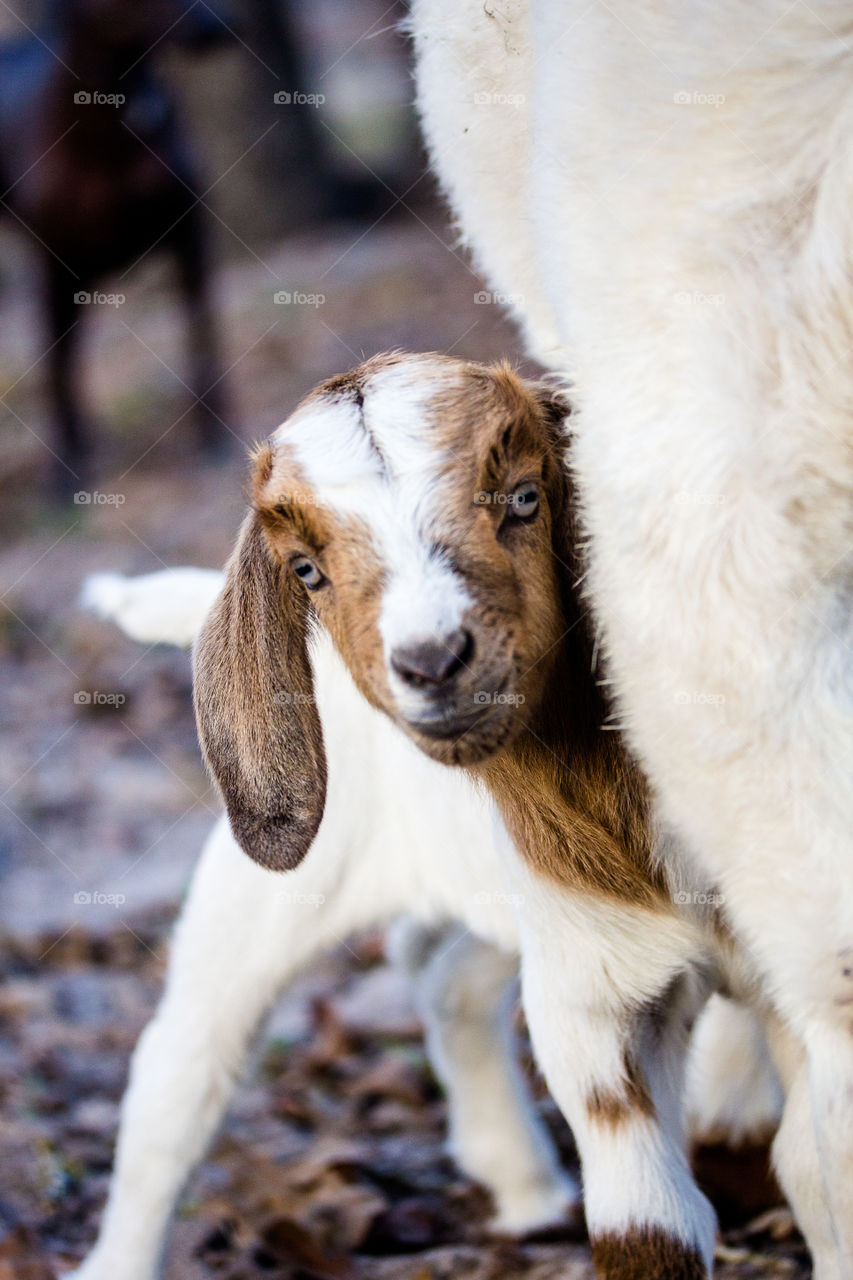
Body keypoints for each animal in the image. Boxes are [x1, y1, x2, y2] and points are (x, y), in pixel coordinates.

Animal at [76, 355, 778, 1280]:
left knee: (440, 970)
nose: (433, 661)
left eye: (525, 497)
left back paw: (523, 1188)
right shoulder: (596, 996)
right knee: (182, 1069)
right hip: (268, 898)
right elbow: (648, 1229)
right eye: (305, 570)